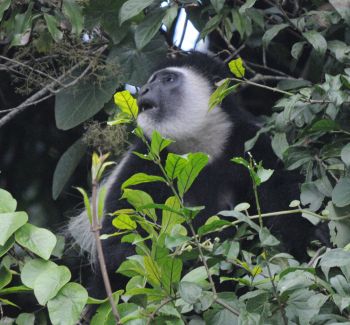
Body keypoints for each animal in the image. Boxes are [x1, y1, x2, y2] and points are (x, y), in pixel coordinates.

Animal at [69, 52, 318, 298]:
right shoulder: (140, 165)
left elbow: (288, 207)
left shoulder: (255, 145)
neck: (199, 148)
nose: (144, 91)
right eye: (151, 82)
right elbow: (120, 242)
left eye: (168, 79)